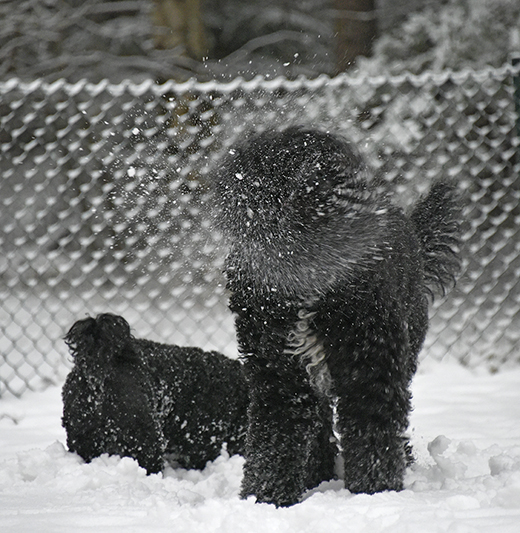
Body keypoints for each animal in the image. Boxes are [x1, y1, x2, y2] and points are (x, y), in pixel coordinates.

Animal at [213, 127, 462, 504]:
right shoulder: (279, 378)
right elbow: (274, 441)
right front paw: (264, 499)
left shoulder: (371, 373)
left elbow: (373, 436)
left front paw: (376, 494)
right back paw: (317, 474)